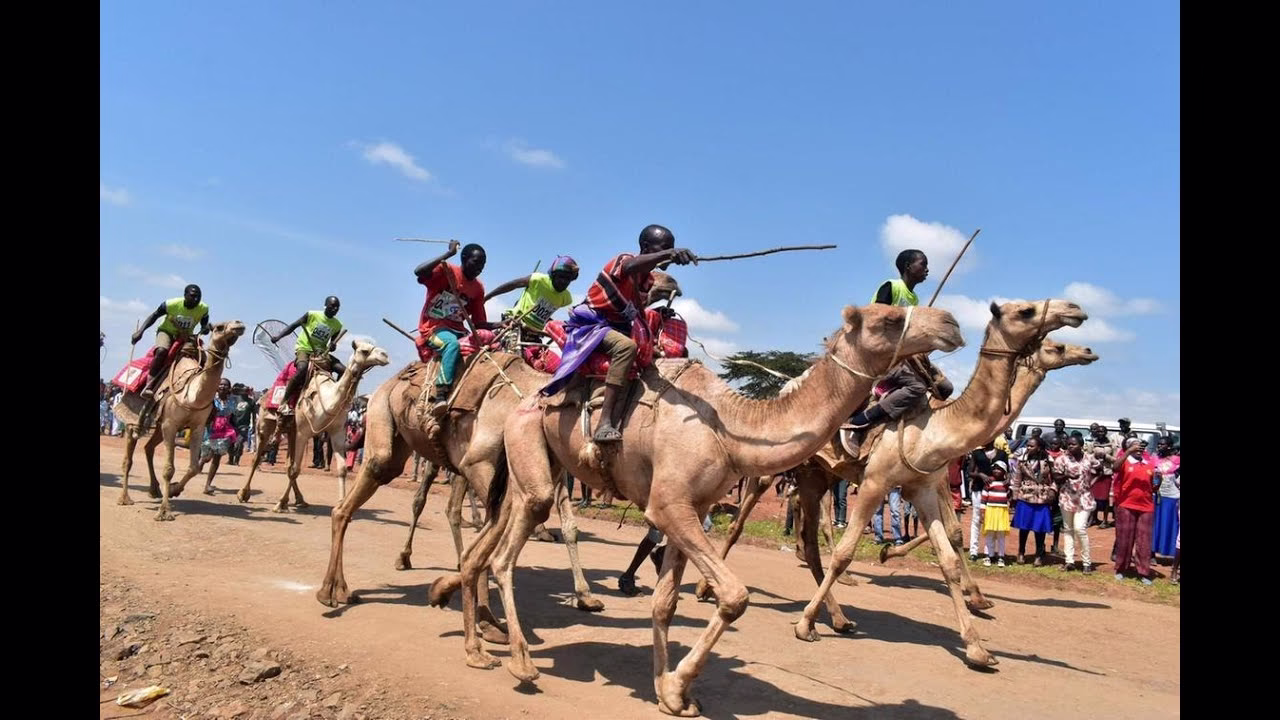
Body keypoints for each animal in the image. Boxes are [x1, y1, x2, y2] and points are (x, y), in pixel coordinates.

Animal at [116, 321, 246, 521]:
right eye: (219, 327)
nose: (239, 324)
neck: (192, 395)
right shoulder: (170, 424)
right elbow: (169, 469)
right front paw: (164, 512)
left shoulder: (197, 427)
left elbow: (194, 467)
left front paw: (174, 490)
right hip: (134, 419)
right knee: (128, 458)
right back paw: (125, 498)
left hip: (159, 427)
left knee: (148, 447)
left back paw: (154, 490)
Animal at [235, 340, 389, 511]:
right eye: (364, 351)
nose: (385, 355)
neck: (328, 401)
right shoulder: (303, 433)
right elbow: (295, 469)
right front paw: (280, 504)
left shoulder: (337, 432)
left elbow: (341, 469)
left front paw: (340, 503)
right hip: (265, 425)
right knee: (258, 458)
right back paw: (243, 494)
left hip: (291, 431)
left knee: (288, 464)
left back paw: (300, 499)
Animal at [428, 302, 965, 716]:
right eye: (889, 318)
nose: (953, 323)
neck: (729, 427)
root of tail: (528, 399)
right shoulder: (669, 506)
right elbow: (734, 596)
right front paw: (680, 683)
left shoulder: (692, 506)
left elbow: (665, 603)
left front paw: (667, 693)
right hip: (529, 458)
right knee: (504, 556)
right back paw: (520, 661)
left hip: (531, 468)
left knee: (483, 548)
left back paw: (475, 646)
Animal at [789, 300, 1087, 670]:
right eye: (1026, 311)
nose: (1076, 311)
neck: (934, 430)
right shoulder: (877, 482)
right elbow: (845, 553)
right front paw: (803, 624)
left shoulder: (924, 487)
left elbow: (948, 555)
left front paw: (977, 646)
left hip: (820, 475)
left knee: (810, 537)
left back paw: (838, 616)